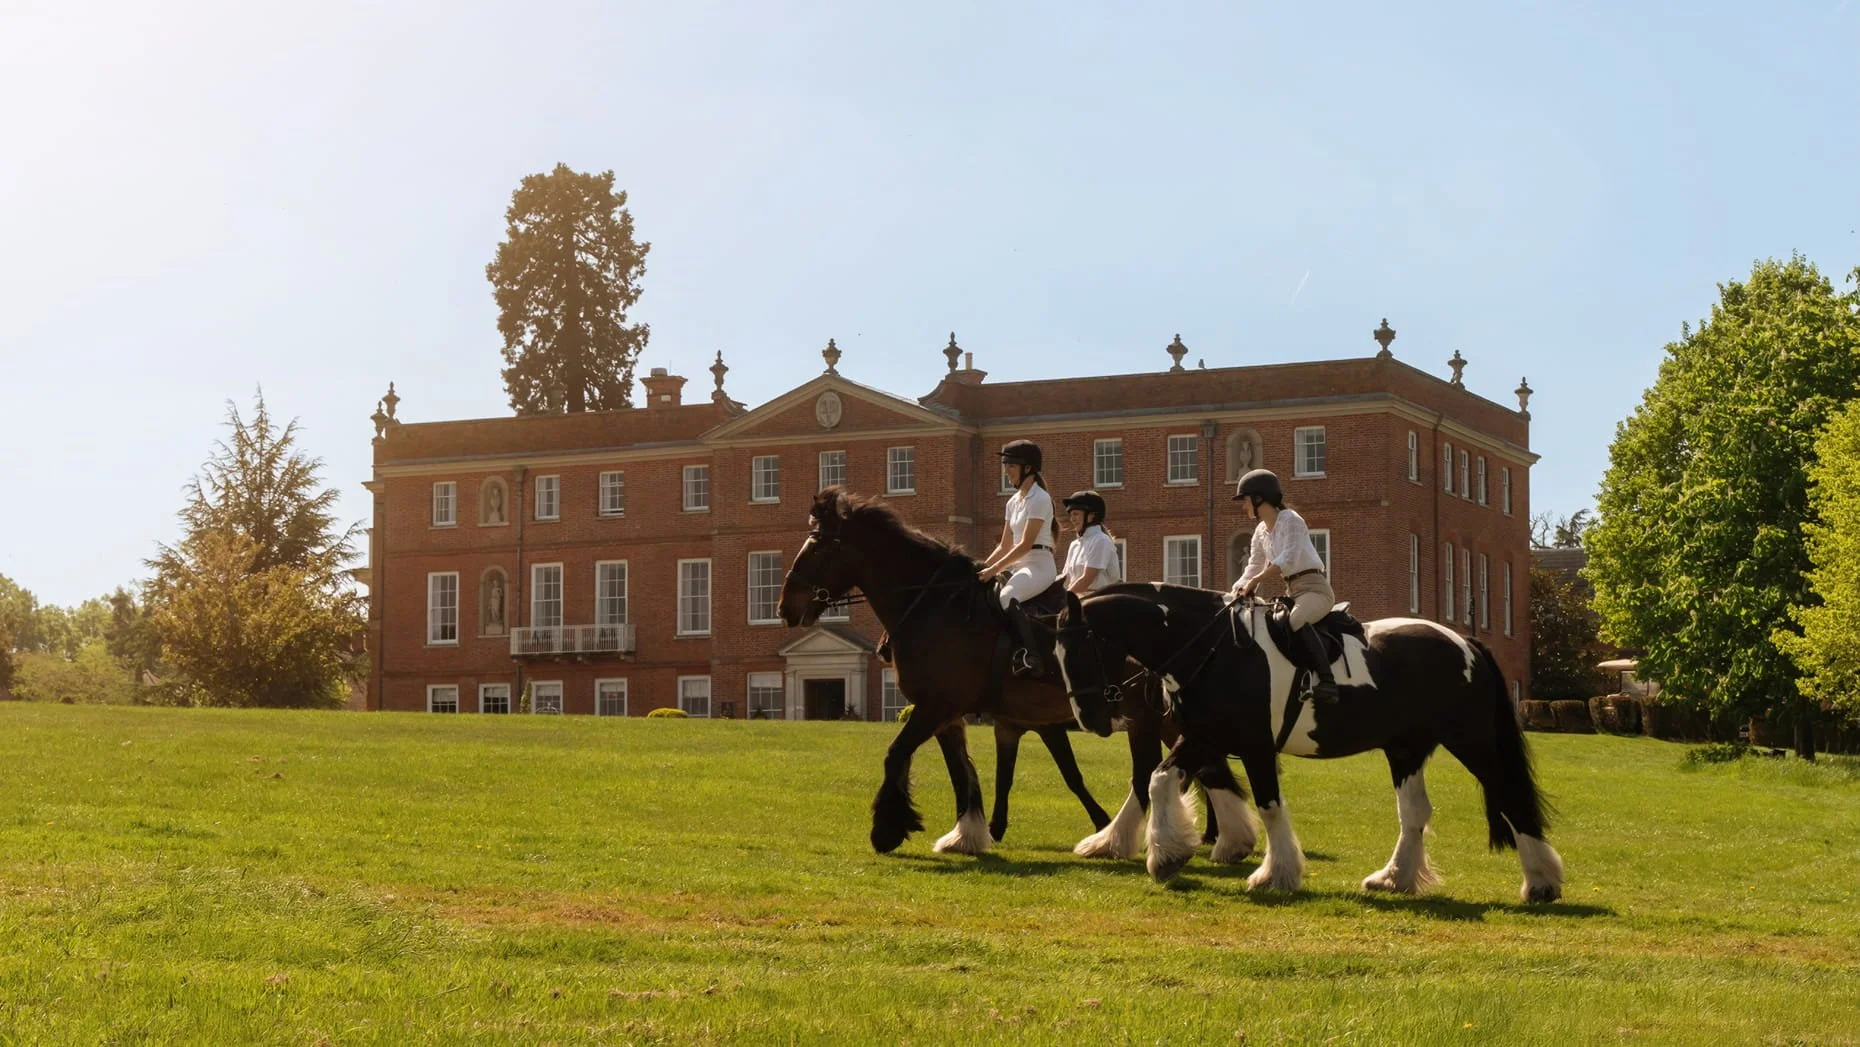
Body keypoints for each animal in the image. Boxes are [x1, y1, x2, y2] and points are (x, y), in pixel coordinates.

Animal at [779, 487, 1233, 861]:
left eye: (817, 547)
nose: (785, 607)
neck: (938, 608)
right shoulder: (953, 716)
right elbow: (964, 773)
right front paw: (967, 833)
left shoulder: (937, 707)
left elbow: (897, 754)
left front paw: (888, 828)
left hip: (1153, 719)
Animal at [1054, 583, 1564, 904]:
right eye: (1056, 653)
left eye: (1080, 650)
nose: (1090, 719)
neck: (1212, 650)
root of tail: (1466, 642)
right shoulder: (1203, 735)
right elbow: (1160, 779)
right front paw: (1166, 855)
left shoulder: (1254, 744)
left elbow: (1268, 805)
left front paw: (1274, 874)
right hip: (1405, 749)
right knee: (1415, 813)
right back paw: (1394, 878)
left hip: (1472, 741)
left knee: (1511, 797)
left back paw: (1541, 884)